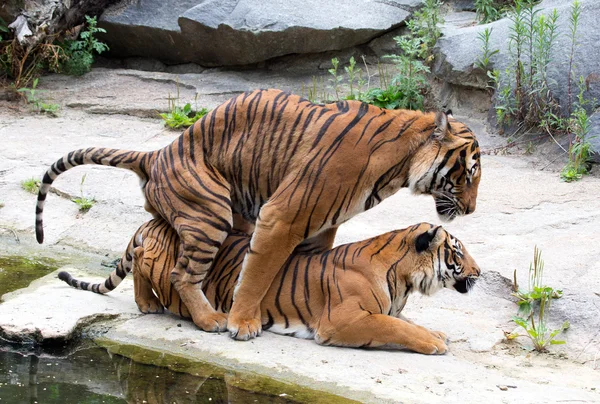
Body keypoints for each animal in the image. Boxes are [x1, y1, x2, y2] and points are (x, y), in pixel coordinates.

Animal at [35, 89, 480, 340]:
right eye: (470, 172)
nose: (472, 209)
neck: (400, 165)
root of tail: (157, 153)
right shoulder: (283, 215)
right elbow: (258, 274)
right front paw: (242, 323)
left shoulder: (323, 223)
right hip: (212, 213)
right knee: (182, 272)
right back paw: (210, 319)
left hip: (228, 215)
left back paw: (152, 302)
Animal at [57, 219, 478, 356]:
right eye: (458, 250)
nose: (480, 271)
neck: (405, 281)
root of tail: (151, 222)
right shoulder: (342, 320)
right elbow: (395, 326)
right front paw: (435, 342)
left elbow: (407, 322)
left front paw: (435, 333)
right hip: (165, 260)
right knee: (146, 266)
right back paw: (156, 306)